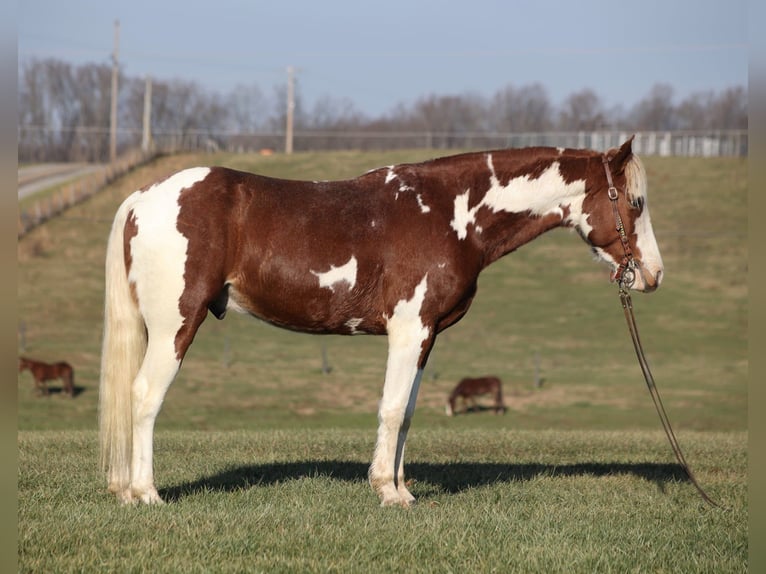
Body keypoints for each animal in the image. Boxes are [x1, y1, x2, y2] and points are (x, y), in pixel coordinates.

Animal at [99, 136, 663, 507]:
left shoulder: (428, 335)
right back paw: (145, 494)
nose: (653, 274)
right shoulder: (408, 331)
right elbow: (391, 409)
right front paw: (386, 493)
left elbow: (408, 412)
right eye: (635, 202)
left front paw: (402, 488)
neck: (451, 214)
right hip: (175, 325)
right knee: (144, 396)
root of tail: (144, 196)